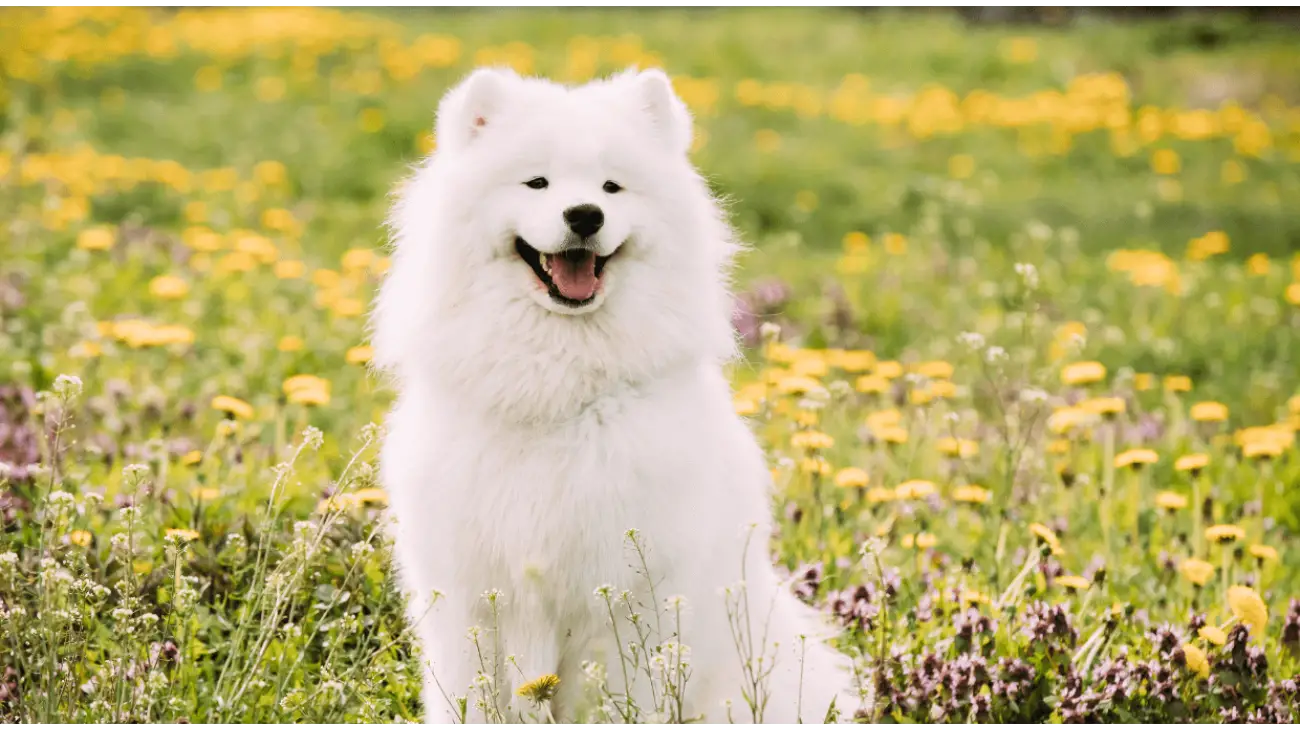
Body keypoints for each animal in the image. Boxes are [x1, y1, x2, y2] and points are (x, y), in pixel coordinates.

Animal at [371, 66, 857, 722]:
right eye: (537, 181)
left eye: (612, 186)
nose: (585, 215)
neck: (558, 385)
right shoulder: (469, 600)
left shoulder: (621, 604)